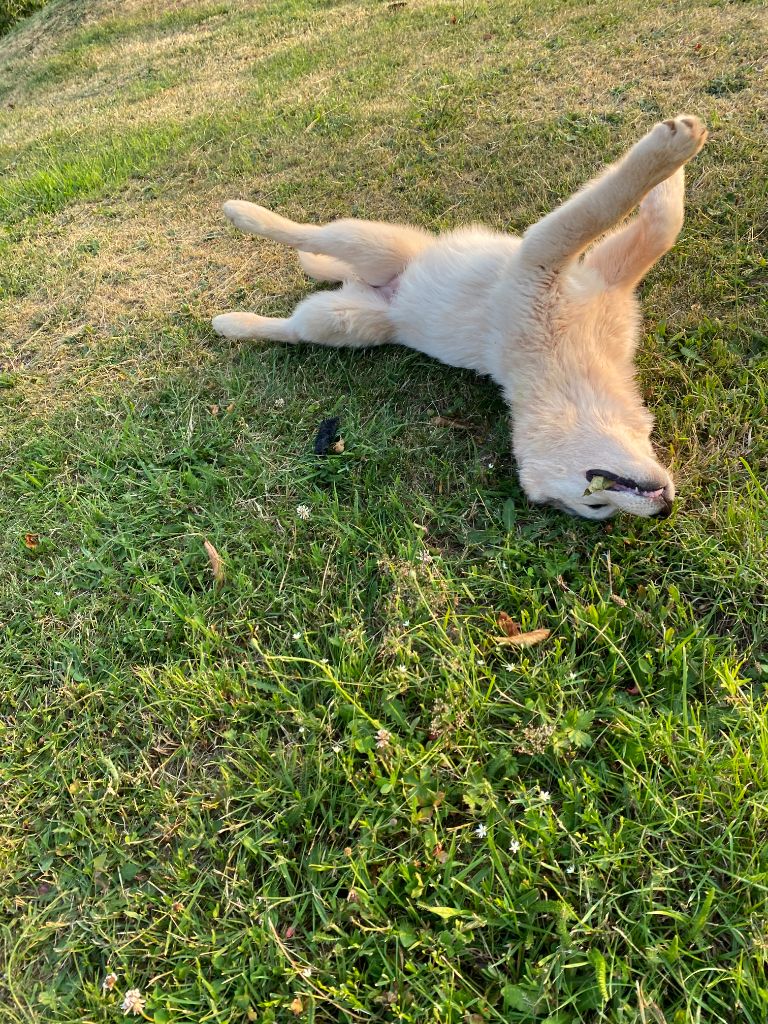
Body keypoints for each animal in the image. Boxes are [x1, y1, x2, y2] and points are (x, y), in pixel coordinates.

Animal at [213, 114, 708, 519]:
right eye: (595, 504)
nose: (665, 509)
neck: (568, 372)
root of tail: (386, 295)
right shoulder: (540, 258)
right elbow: (603, 206)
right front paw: (674, 148)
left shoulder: (605, 274)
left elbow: (663, 221)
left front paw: (674, 161)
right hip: (358, 268)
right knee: (303, 262)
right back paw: (239, 246)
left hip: (356, 297)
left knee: (311, 283)